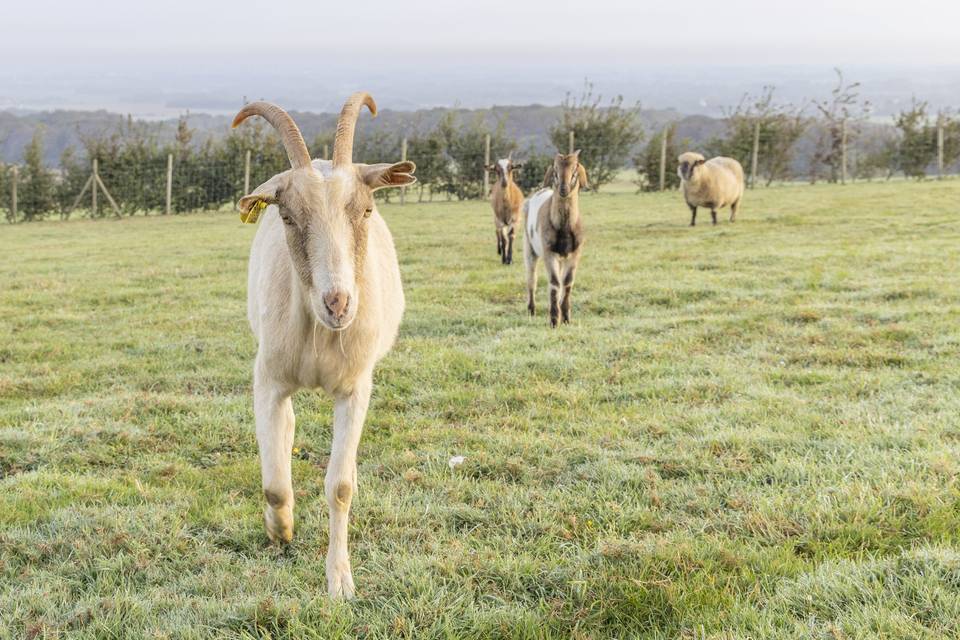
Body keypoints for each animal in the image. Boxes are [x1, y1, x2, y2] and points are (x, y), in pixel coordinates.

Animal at [232, 95, 416, 600]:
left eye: (366, 210)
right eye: (288, 216)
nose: (338, 303)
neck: (319, 332)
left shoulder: (355, 388)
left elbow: (340, 486)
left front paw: (340, 581)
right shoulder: (268, 380)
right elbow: (275, 484)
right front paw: (281, 530)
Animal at [520, 152, 588, 328]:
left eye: (575, 169)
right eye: (555, 170)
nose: (564, 189)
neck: (564, 228)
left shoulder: (575, 253)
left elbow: (567, 282)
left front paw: (566, 318)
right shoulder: (549, 252)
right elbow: (555, 283)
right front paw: (554, 320)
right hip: (529, 247)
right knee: (532, 279)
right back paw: (531, 310)